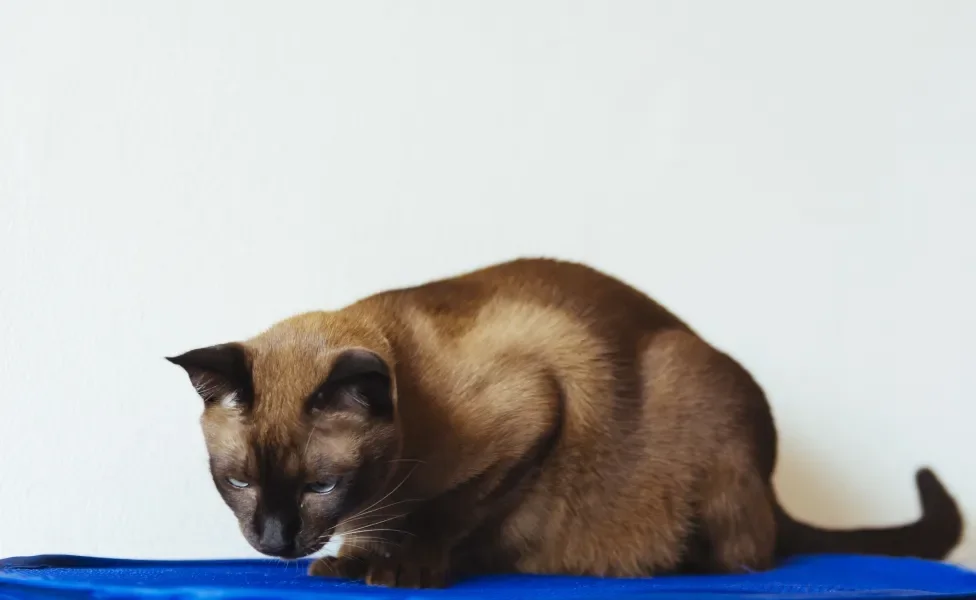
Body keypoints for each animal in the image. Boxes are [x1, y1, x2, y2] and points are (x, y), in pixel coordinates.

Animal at [166, 256, 960, 584]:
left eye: (319, 488)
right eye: (238, 482)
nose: (274, 543)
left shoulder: (533, 412)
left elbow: (446, 514)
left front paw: (400, 569)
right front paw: (353, 560)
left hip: (690, 387)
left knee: (752, 556)